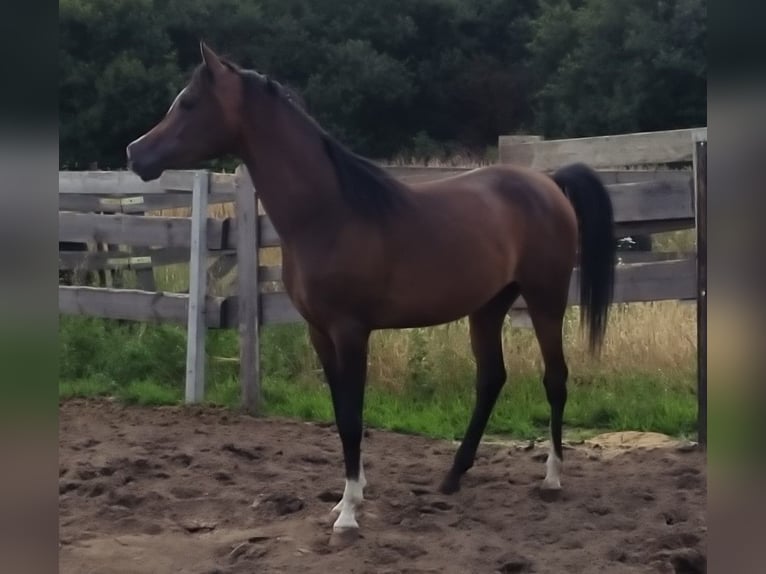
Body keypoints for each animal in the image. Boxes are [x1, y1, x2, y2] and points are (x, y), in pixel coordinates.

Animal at [127, 43, 616, 533]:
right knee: (491, 379)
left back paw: (551, 478)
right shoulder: (320, 333)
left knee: (555, 378)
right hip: (489, 306)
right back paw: (454, 475)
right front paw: (349, 497)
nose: (135, 153)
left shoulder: (351, 331)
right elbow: (341, 411)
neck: (329, 214)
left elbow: (352, 416)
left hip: (545, 299)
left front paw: (349, 512)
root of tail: (548, 182)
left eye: (189, 103)